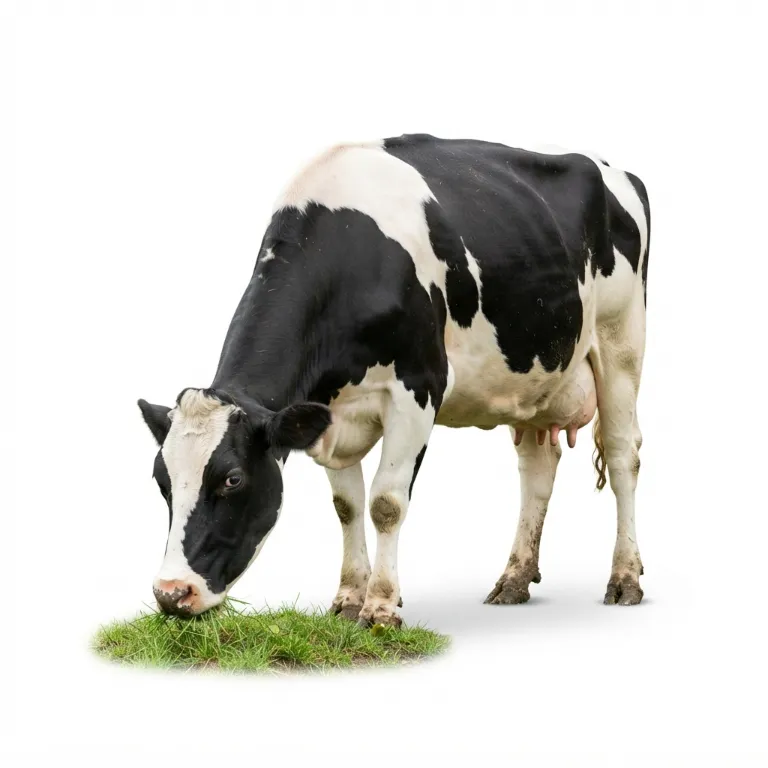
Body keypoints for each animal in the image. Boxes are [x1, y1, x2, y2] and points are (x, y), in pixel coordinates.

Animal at [138, 134, 650, 627]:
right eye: (161, 479)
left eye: (233, 479)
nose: (172, 594)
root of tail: (616, 169)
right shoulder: (330, 410)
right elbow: (346, 505)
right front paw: (348, 600)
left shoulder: (417, 390)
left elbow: (386, 502)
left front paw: (381, 606)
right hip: (534, 377)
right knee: (537, 469)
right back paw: (514, 579)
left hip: (622, 341)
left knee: (623, 455)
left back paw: (624, 577)